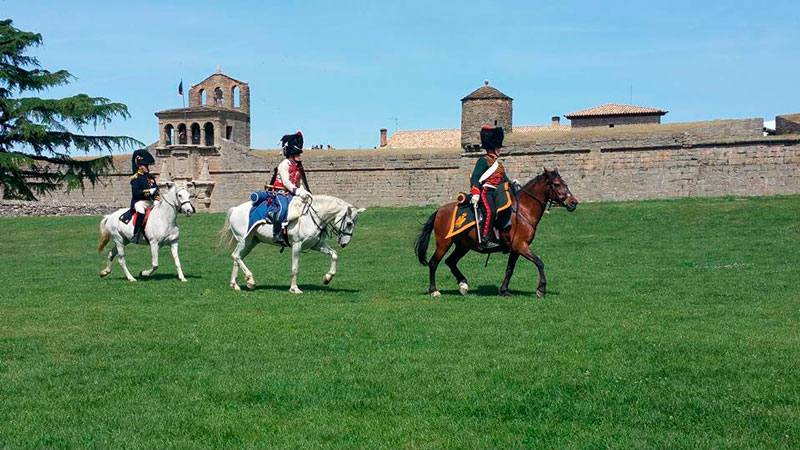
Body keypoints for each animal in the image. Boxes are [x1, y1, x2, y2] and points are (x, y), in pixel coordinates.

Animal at [220, 194, 368, 294]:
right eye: (349, 223)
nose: (344, 243)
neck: (312, 217)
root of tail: (235, 209)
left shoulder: (317, 245)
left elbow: (334, 255)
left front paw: (327, 277)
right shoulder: (297, 245)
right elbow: (295, 267)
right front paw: (294, 288)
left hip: (250, 243)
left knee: (237, 258)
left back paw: (235, 284)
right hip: (244, 240)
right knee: (236, 256)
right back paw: (250, 280)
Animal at [416, 167, 580, 298]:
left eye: (565, 183)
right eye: (557, 184)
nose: (573, 202)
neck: (524, 210)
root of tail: (440, 210)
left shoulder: (516, 249)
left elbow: (509, 269)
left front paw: (504, 290)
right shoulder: (521, 245)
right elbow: (539, 262)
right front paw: (541, 289)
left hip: (463, 246)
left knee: (450, 262)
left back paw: (463, 285)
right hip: (443, 243)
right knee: (433, 263)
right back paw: (434, 290)